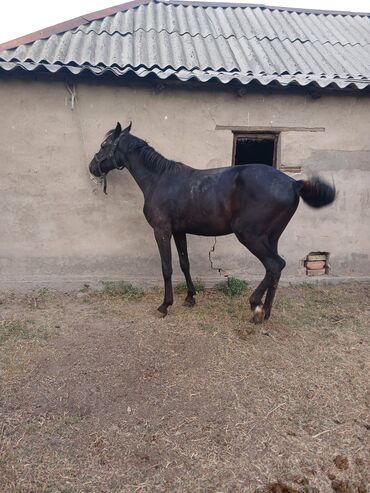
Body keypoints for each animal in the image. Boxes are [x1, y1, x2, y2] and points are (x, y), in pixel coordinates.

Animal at [89, 122, 336, 322]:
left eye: (103, 145)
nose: (92, 167)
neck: (160, 179)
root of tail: (294, 184)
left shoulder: (162, 231)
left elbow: (167, 267)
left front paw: (165, 305)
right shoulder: (179, 231)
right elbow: (184, 263)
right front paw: (190, 297)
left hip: (250, 236)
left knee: (275, 265)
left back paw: (255, 306)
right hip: (271, 237)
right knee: (274, 269)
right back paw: (265, 313)